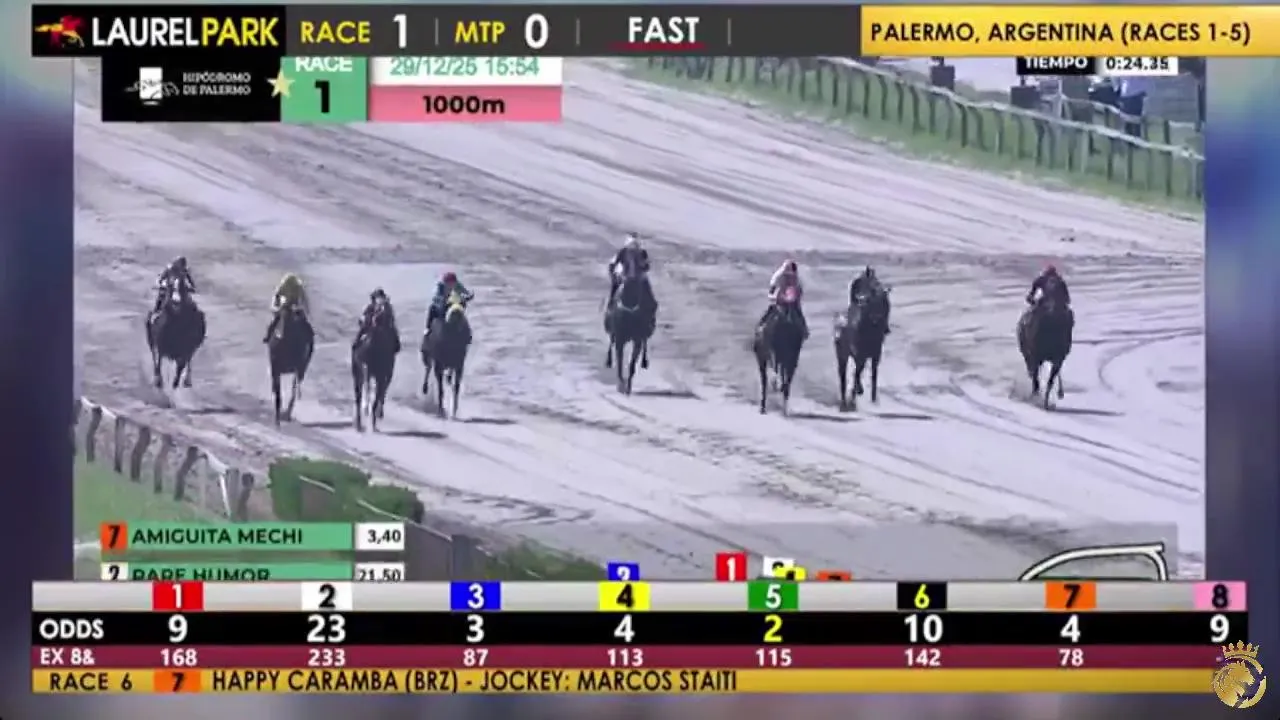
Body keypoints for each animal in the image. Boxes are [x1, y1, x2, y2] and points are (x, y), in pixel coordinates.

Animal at [266, 297, 314, 425]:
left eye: (291, 319)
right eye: (279, 317)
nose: (279, 335)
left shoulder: (299, 369)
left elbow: (294, 390)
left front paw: (286, 414)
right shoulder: (275, 367)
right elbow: (278, 392)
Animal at [352, 302, 398, 432]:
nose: (361, 320)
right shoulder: (384, 374)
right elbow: (380, 393)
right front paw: (377, 413)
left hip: (361, 371)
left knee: (359, 395)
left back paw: (360, 421)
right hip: (373, 372)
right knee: (371, 392)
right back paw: (369, 412)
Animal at [753, 286, 806, 414]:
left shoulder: (767, 356)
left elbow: (766, 380)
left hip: (774, 354)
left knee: (772, 377)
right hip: (790, 357)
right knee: (786, 382)